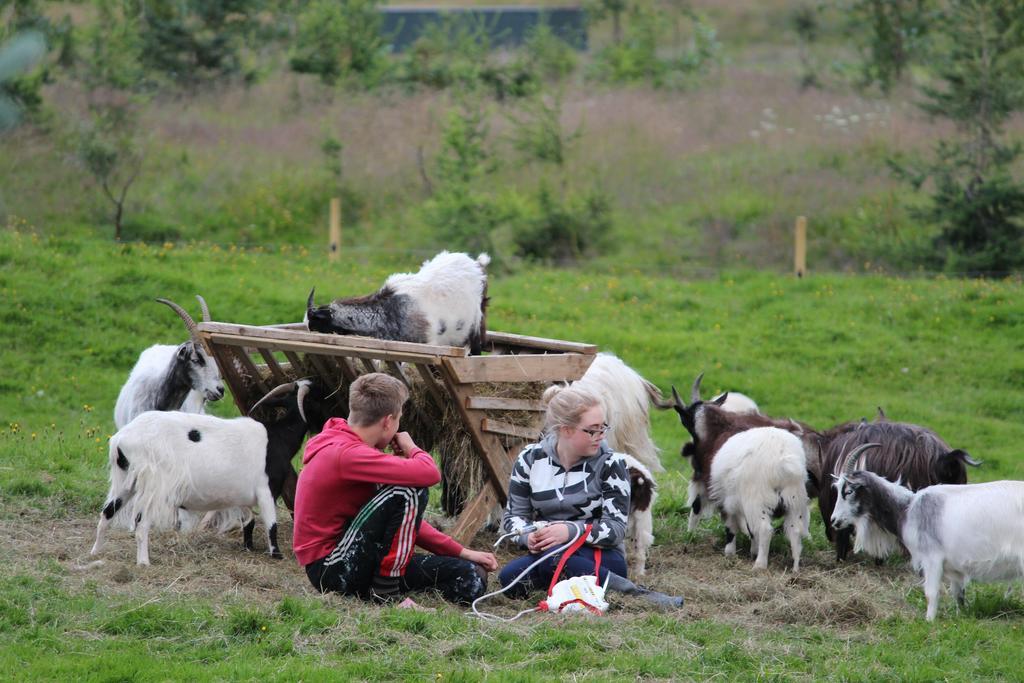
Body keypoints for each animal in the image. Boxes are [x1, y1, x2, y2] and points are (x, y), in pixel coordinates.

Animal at [91, 378, 325, 565]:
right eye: (315, 400)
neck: (277, 438)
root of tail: (121, 439)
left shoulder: (242, 496)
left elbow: (249, 522)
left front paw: (248, 547)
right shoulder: (266, 490)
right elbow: (271, 524)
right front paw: (277, 555)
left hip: (125, 481)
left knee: (107, 513)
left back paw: (95, 553)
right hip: (153, 486)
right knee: (141, 524)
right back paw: (143, 562)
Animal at [712, 428, 806, 573]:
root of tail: (782, 456)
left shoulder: (728, 504)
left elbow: (731, 527)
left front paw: (730, 553)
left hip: (756, 499)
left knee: (765, 530)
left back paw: (760, 565)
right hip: (794, 500)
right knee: (795, 532)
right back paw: (795, 569)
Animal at [827, 446, 1024, 622]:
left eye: (848, 491)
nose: (834, 520)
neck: (908, 509)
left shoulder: (932, 558)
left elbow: (931, 593)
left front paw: (929, 621)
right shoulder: (955, 569)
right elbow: (959, 595)